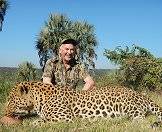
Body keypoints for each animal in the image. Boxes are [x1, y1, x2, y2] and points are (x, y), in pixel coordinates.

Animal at [3, 81, 162, 127]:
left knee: (141, 120)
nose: (4, 112)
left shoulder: (64, 117)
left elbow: (40, 121)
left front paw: (33, 123)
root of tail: (140, 94)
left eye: (11, 99)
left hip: (128, 106)